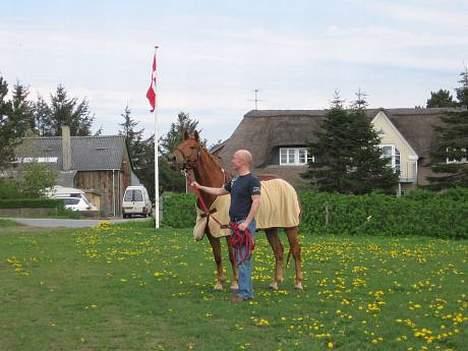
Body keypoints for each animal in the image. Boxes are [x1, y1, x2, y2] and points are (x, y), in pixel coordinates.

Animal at [172, 131, 304, 290]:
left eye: (192, 147)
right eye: (180, 144)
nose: (173, 158)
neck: (214, 194)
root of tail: (289, 186)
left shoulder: (230, 232)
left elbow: (232, 256)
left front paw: (235, 283)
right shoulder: (211, 233)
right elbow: (217, 257)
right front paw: (219, 283)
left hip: (290, 226)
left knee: (296, 250)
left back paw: (298, 283)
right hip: (271, 228)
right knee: (278, 250)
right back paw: (275, 282)